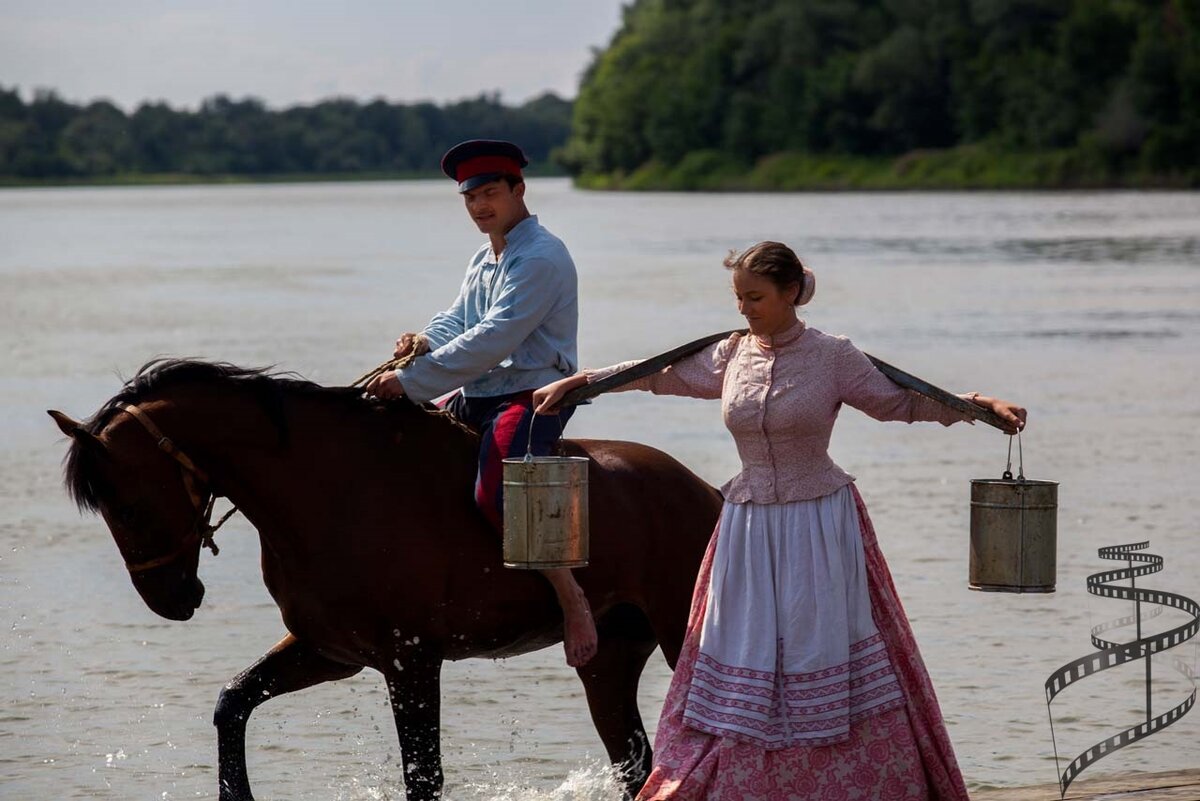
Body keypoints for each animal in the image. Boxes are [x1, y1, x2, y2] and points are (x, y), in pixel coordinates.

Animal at [49, 362, 720, 801]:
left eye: (127, 505)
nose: (171, 600)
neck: (332, 489)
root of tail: (706, 492)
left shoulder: (412, 660)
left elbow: (423, 777)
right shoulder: (333, 652)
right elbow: (232, 703)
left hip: (676, 638)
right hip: (608, 660)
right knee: (635, 764)